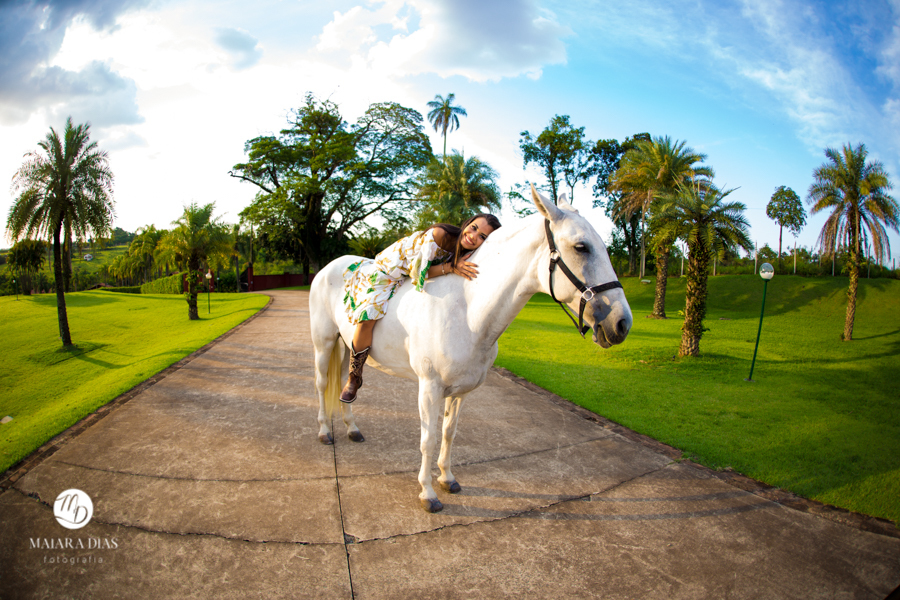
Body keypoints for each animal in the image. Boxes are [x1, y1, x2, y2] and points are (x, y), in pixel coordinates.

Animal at [309, 185, 632, 512]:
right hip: (324, 344)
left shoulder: (460, 391)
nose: (621, 323)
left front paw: (447, 478)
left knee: (346, 383)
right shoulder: (429, 389)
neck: (466, 309)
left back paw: (352, 428)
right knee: (322, 384)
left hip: (345, 345)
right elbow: (428, 439)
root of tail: (329, 267)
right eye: (581, 247)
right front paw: (427, 493)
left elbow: (449, 433)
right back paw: (324, 432)